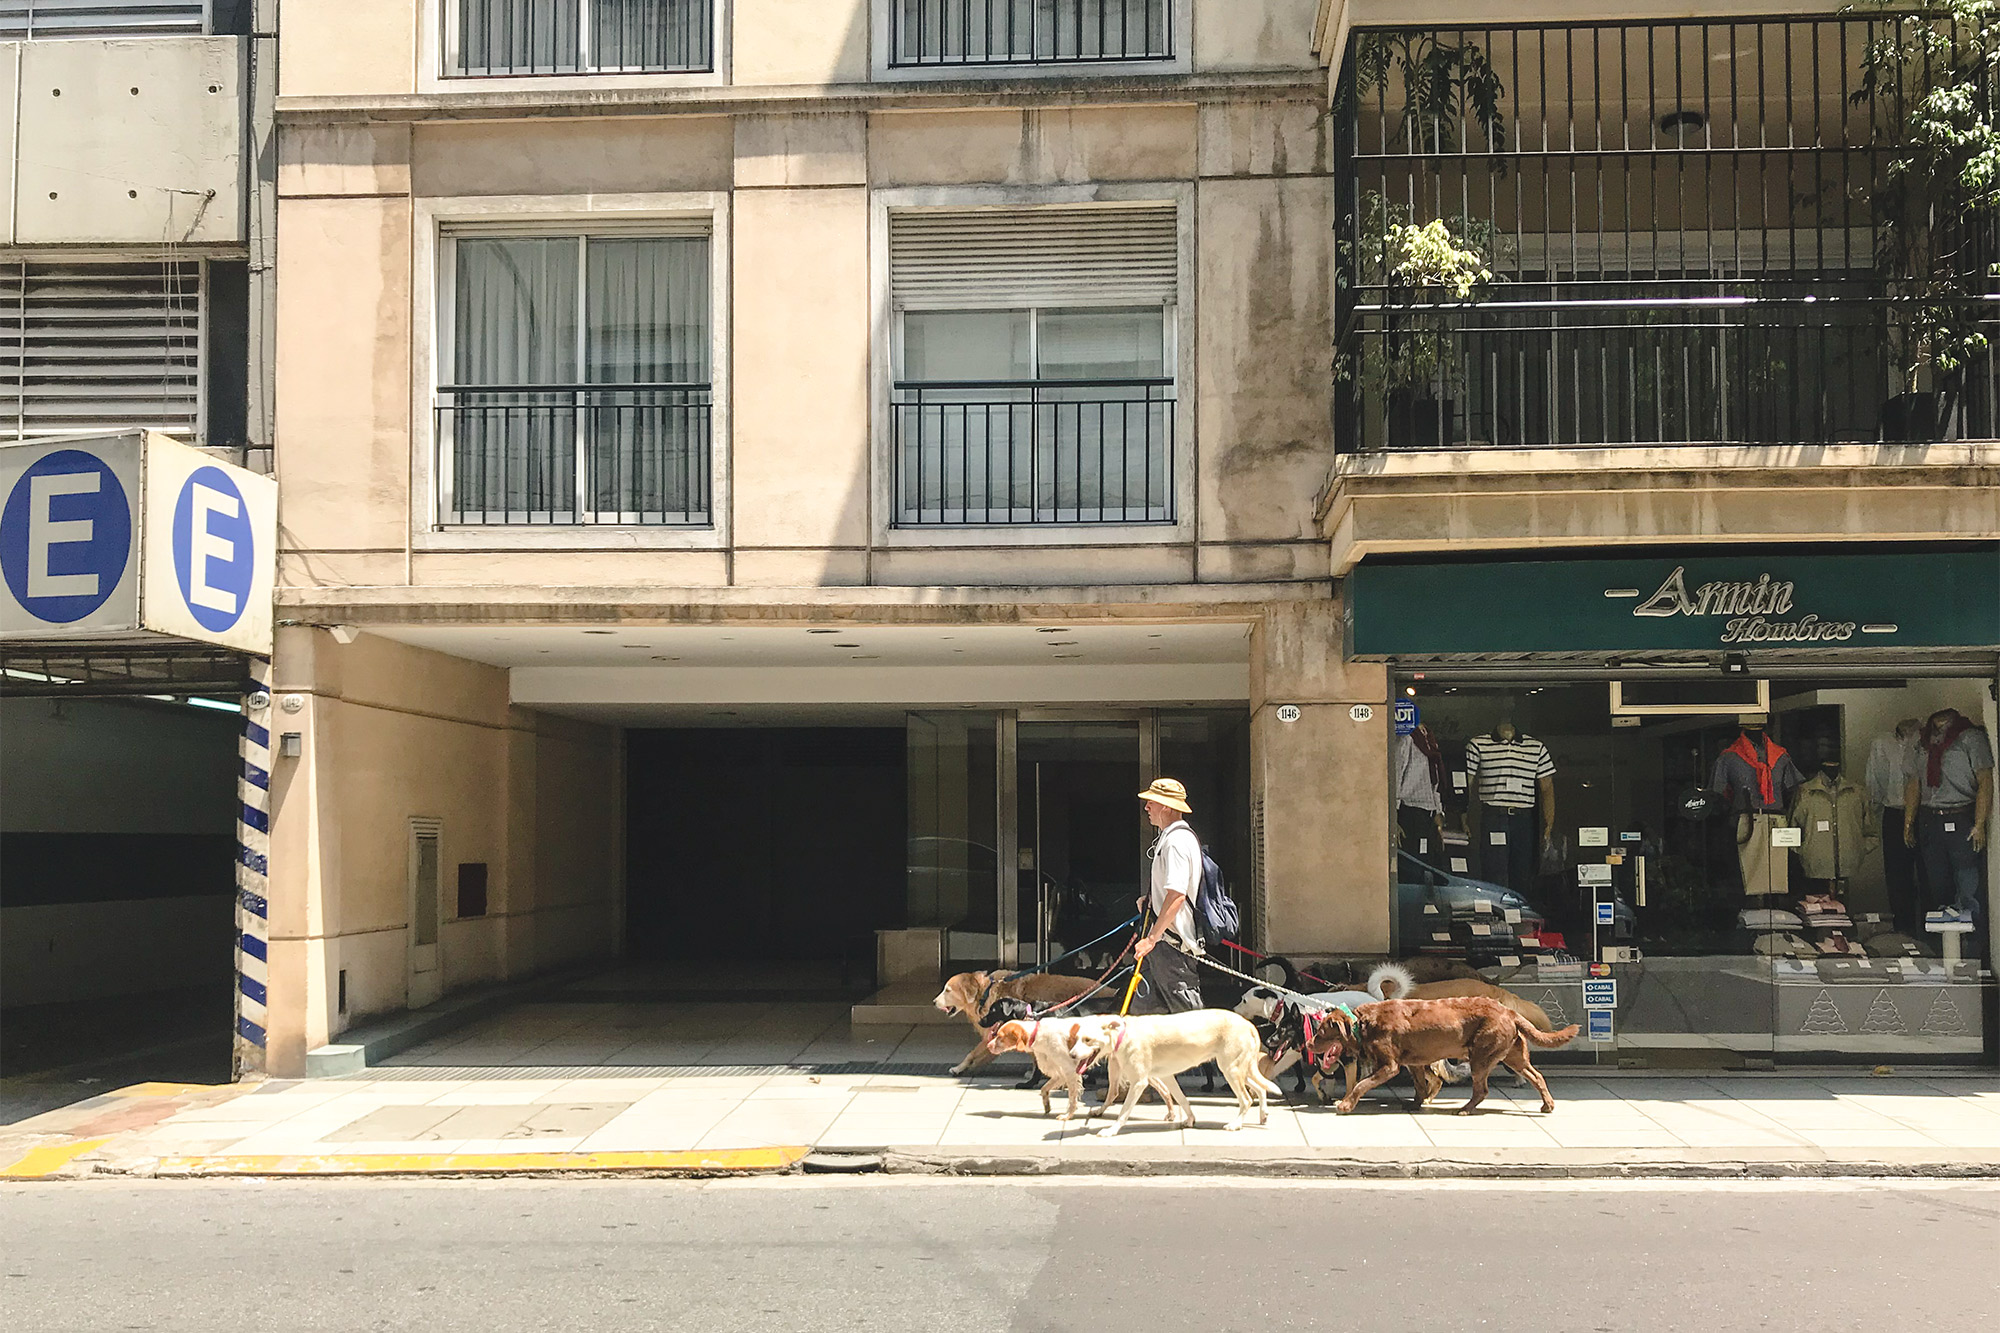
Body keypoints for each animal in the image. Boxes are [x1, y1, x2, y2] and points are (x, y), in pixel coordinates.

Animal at [1066, 1010, 1283, 1137]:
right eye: (1077, 1038)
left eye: (1088, 1039)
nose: (1072, 1055)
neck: (1123, 1035)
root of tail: (1248, 1024)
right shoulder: (1166, 1077)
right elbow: (1182, 1099)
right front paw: (1190, 1120)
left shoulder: (1139, 1082)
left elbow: (1124, 1112)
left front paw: (1111, 1130)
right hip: (1237, 1069)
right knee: (1261, 1089)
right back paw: (1263, 1114)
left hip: (1231, 1069)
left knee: (1246, 1099)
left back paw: (1236, 1124)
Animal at [1307, 996, 1580, 1115]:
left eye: (1321, 1032)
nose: (1309, 1043)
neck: (1361, 1024)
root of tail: (1510, 1012)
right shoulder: (1413, 1063)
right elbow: (1419, 1085)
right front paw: (1416, 1103)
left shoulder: (1389, 1066)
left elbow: (1360, 1085)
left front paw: (1345, 1105)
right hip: (1513, 1056)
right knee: (1537, 1075)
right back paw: (1547, 1105)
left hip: (1481, 1056)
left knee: (1482, 1089)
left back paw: (1465, 1109)